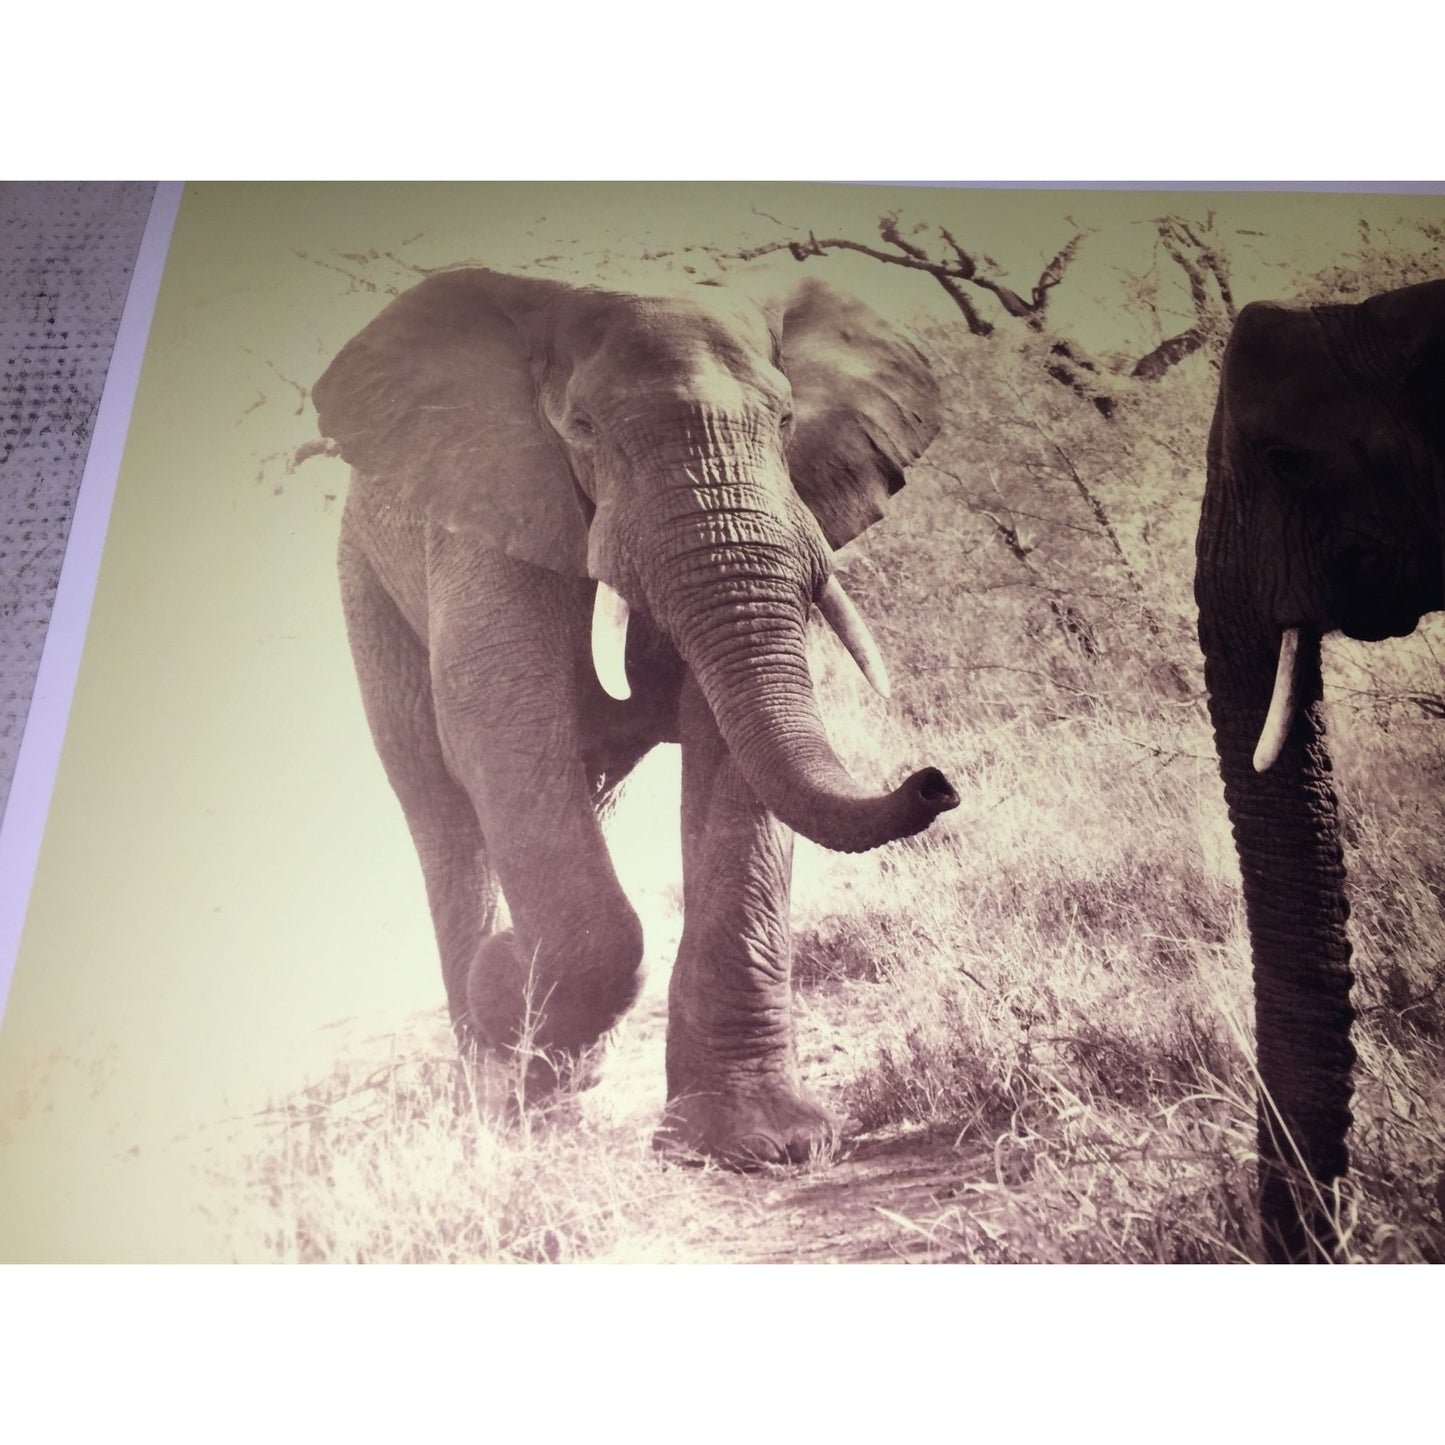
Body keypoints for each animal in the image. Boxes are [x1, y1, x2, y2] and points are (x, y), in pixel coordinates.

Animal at [310, 262, 953, 1161]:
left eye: (785, 419)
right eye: (581, 428)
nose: (934, 782)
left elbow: (730, 749)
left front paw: (761, 1143)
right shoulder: (483, 515)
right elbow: (494, 732)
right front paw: (506, 979)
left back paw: (554, 1082)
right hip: (364, 586)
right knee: (440, 806)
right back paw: (506, 1094)